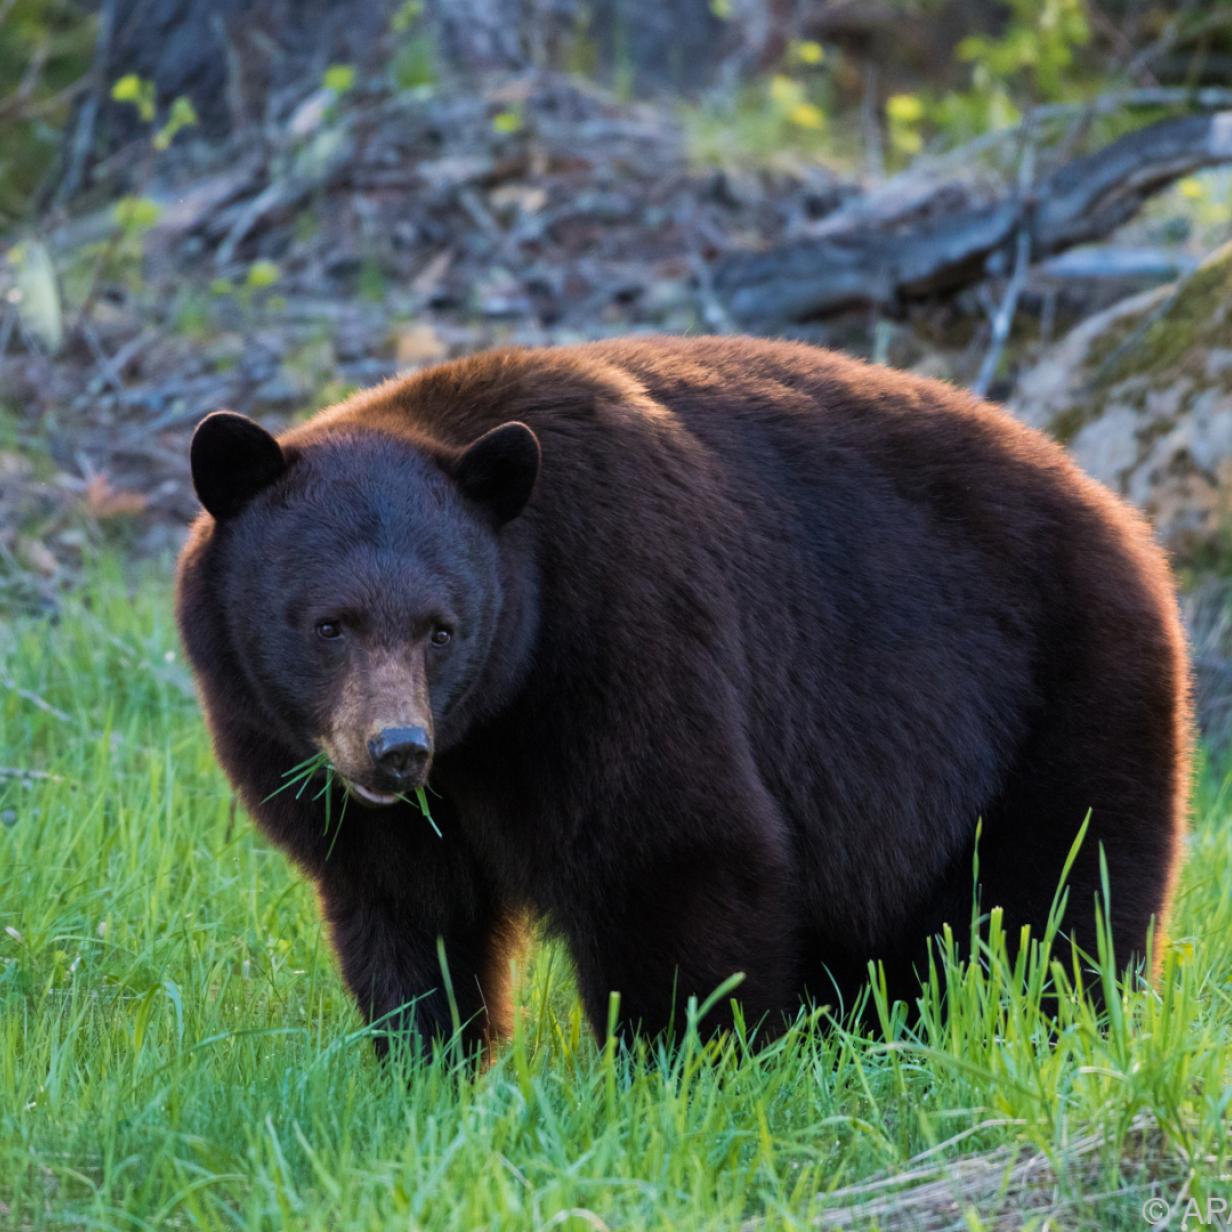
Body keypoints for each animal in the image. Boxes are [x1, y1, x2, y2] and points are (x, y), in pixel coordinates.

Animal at [176, 335, 1191, 1055]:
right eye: (329, 624)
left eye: (441, 628)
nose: (396, 751)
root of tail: (1126, 520)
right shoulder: (324, 769)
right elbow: (404, 910)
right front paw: (430, 1062)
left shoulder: (622, 630)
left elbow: (674, 848)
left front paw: (677, 1063)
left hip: (1062, 690)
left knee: (1058, 896)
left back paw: (1045, 1028)